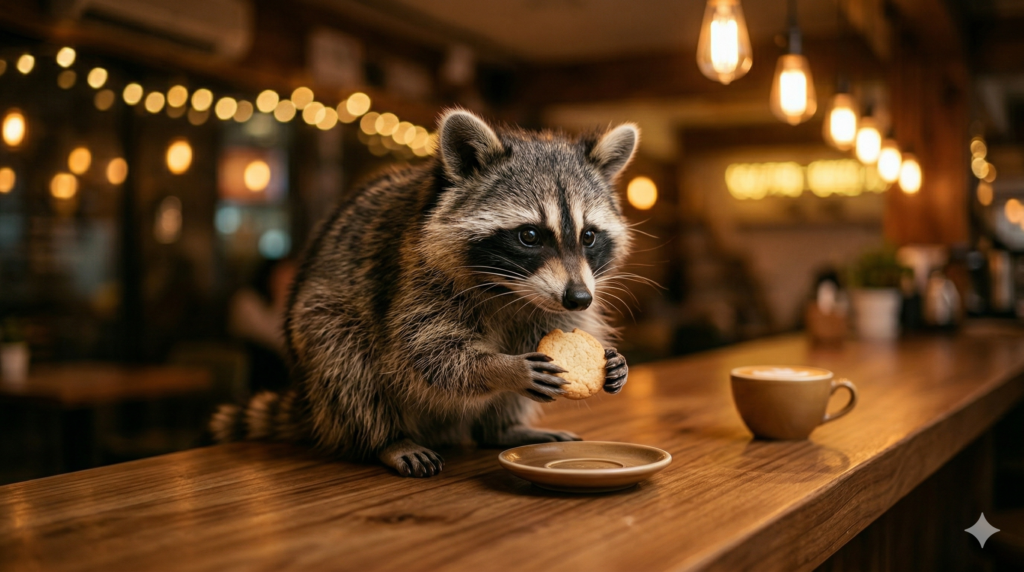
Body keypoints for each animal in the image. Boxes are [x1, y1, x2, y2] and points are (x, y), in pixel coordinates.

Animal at [210, 109, 637, 477]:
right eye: (530, 235)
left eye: (589, 236)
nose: (579, 298)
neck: (510, 289)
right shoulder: (415, 275)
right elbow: (427, 349)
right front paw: (500, 367)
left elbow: (552, 327)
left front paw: (611, 360)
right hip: (321, 326)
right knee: (344, 357)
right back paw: (387, 439)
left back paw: (501, 428)